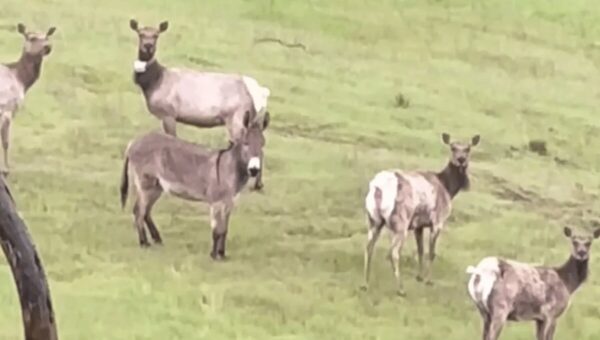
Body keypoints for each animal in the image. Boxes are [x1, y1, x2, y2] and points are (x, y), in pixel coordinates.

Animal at [0, 23, 56, 175]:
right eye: (32, 37)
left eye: (47, 36)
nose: (48, 47)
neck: (21, 80)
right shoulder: (8, 107)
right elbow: (6, 141)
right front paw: (6, 170)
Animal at [119, 111, 270, 260]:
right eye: (246, 143)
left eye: (262, 144)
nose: (254, 170)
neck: (229, 168)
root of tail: (133, 142)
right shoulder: (216, 202)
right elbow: (217, 230)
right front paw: (214, 255)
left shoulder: (228, 203)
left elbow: (224, 230)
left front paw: (222, 254)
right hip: (146, 185)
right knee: (138, 211)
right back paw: (144, 243)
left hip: (156, 187)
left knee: (146, 212)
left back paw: (157, 239)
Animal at [129, 19, 270, 191]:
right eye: (141, 34)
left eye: (156, 35)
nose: (148, 46)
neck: (154, 82)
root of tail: (262, 93)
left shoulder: (169, 113)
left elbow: (172, 138)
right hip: (251, 119)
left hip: (237, 117)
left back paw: (256, 183)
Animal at [364, 133, 480, 294]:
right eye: (453, 147)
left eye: (468, 148)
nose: (461, 160)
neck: (448, 188)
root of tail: (378, 187)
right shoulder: (437, 221)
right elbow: (431, 253)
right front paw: (428, 280)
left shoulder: (418, 225)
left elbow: (420, 250)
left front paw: (419, 276)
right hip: (401, 223)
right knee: (393, 253)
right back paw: (400, 289)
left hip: (373, 219)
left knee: (368, 247)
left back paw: (365, 283)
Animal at [466, 226, 600, 340]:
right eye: (574, 241)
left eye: (589, 242)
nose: (581, 253)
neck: (567, 283)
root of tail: (480, 271)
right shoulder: (551, 313)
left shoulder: (539, 318)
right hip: (501, 307)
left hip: (483, 311)